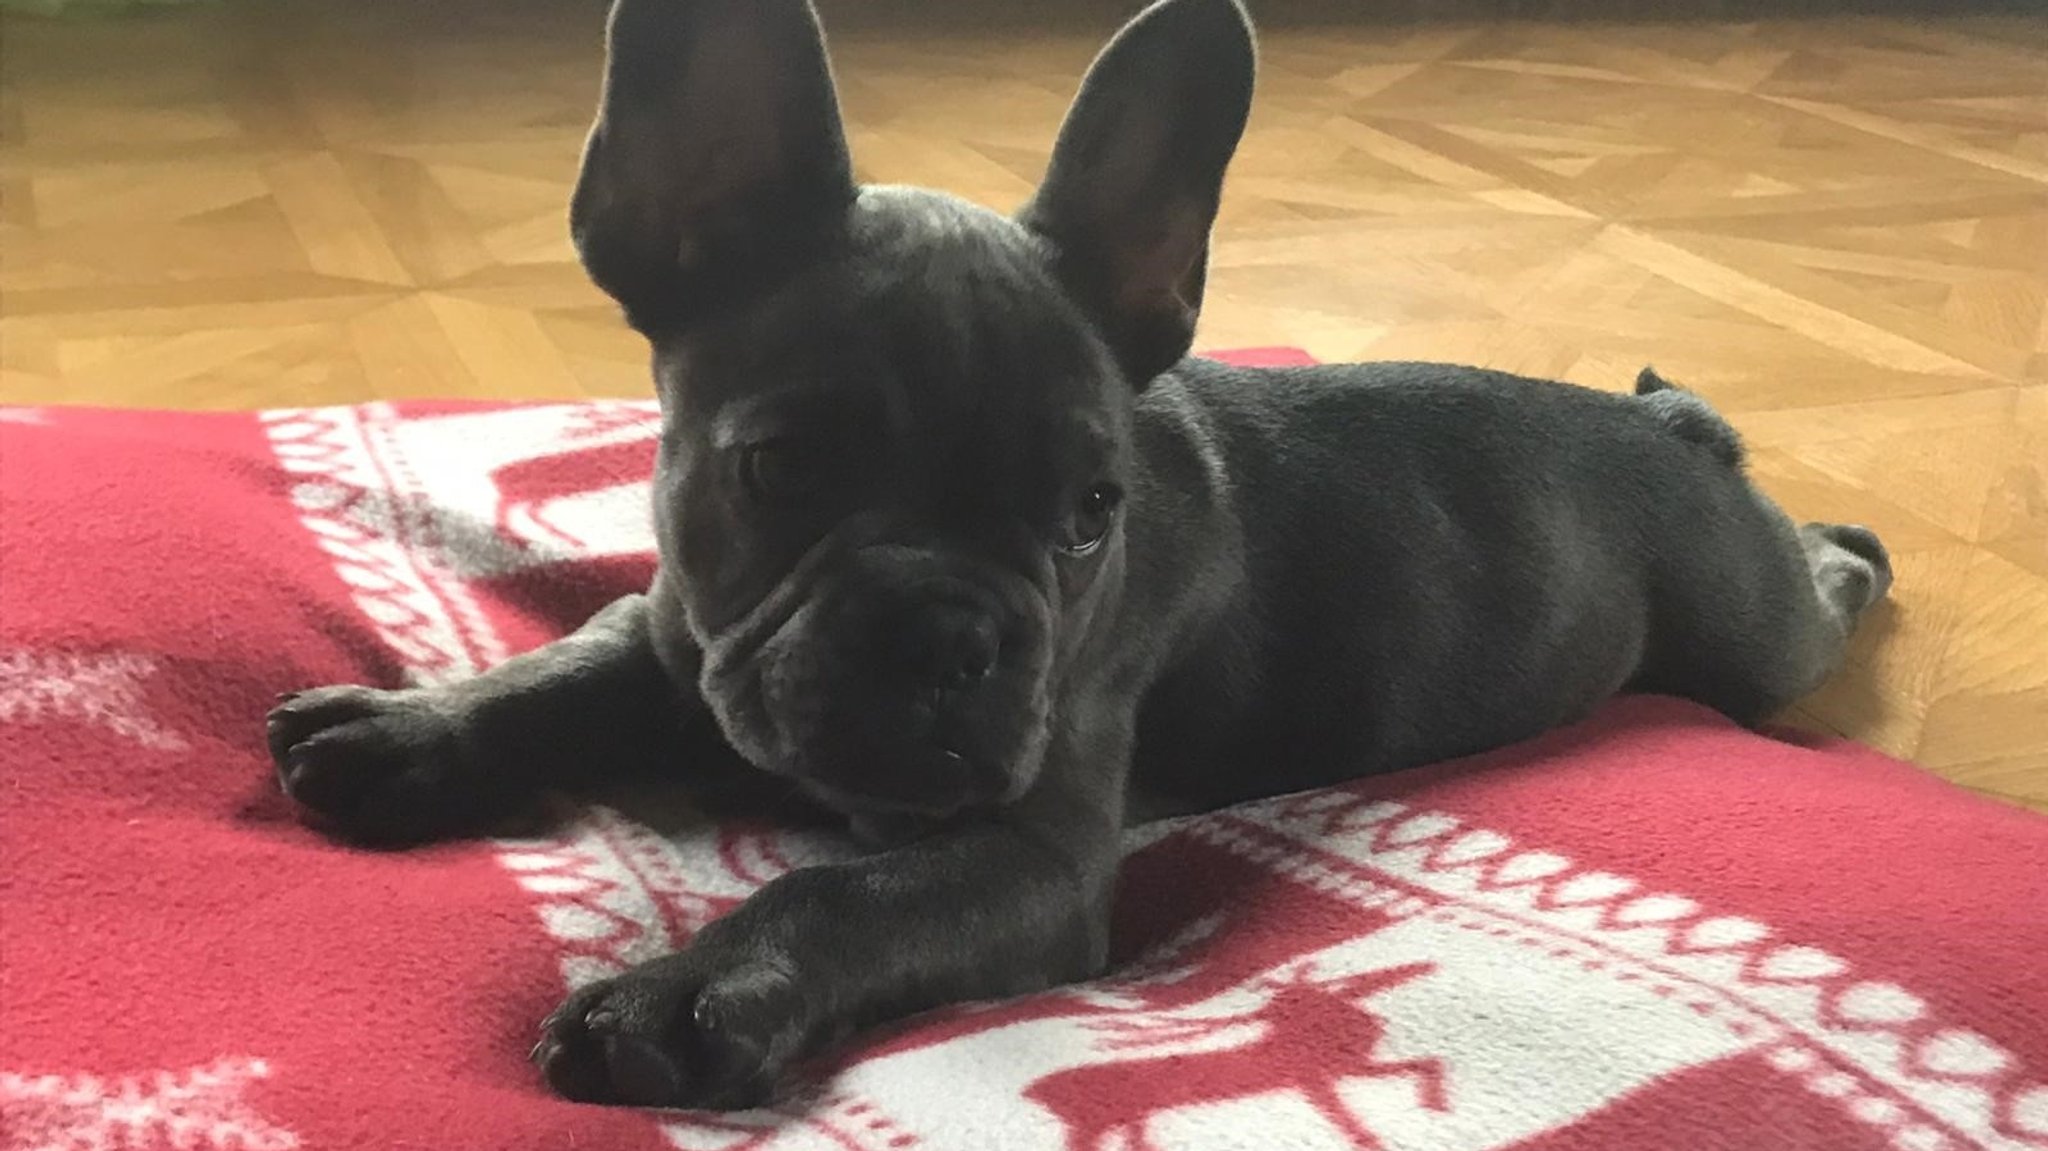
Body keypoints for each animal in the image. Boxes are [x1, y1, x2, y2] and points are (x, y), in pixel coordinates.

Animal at [268, 0, 1884, 1114]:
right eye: (778, 467)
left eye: (1090, 513)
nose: (950, 634)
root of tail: (1666, 439)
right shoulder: (676, 631)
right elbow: (564, 665)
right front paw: (408, 726)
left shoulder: (1027, 854)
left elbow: (837, 894)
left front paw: (679, 993)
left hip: (1752, 626)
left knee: (1814, 587)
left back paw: (1842, 542)